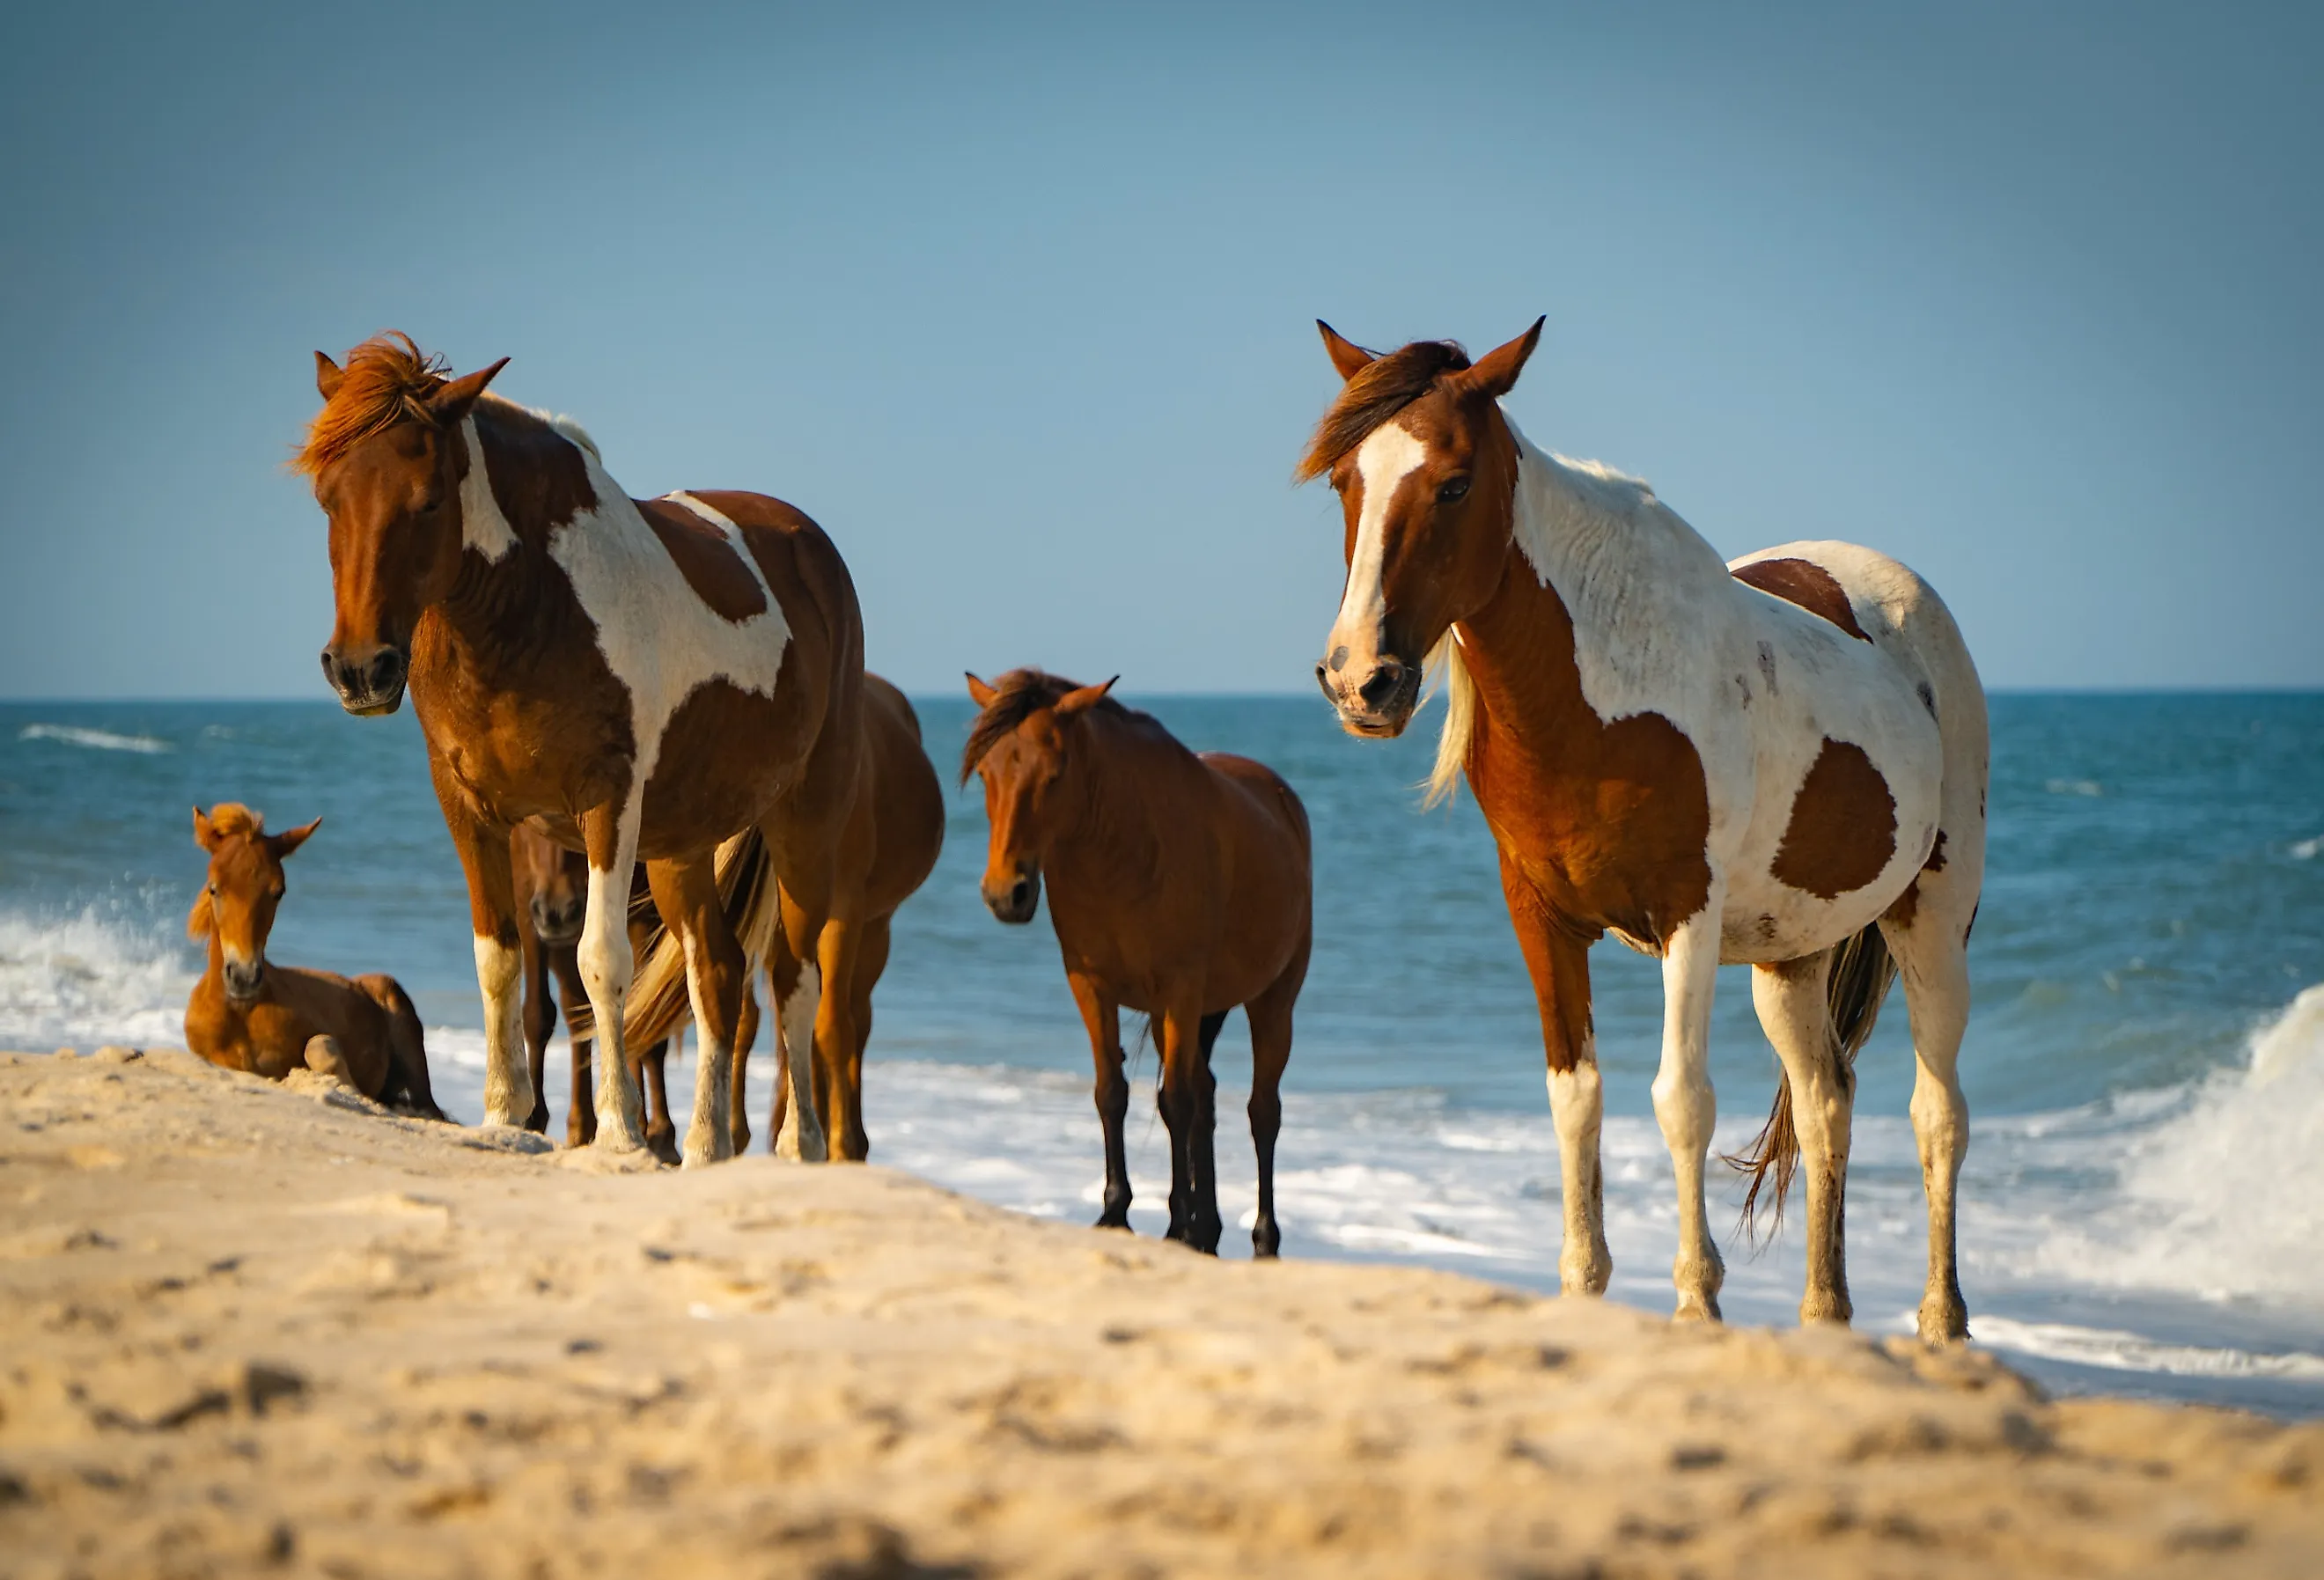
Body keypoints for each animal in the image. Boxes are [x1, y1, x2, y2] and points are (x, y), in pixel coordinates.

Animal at [299, 332, 864, 1166]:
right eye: (328, 499)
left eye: (427, 499)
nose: (361, 669)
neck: (530, 608)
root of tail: (809, 544)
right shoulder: (469, 808)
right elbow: (499, 959)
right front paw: (504, 1116)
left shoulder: (607, 802)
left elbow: (602, 963)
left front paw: (620, 1133)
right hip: (682, 845)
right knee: (718, 971)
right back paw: (706, 1147)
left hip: (805, 822)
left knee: (796, 976)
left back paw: (799, 1144)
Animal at [948, 673, 1310, 1254]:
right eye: (985, 773)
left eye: (1055, 774)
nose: (1008, 893)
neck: (1123, 853)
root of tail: (1282, 800)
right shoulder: (1092, 987)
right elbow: (1112, 1093)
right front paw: (1118, 1213)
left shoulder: (1179, 991)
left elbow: (1176, 1103)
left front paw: (1175, 1223)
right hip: (1194, 1014)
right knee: (1207, 1096)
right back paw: (1207, 1229)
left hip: (1270, 1004)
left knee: (1262, 1113)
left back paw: (1261, 1238)